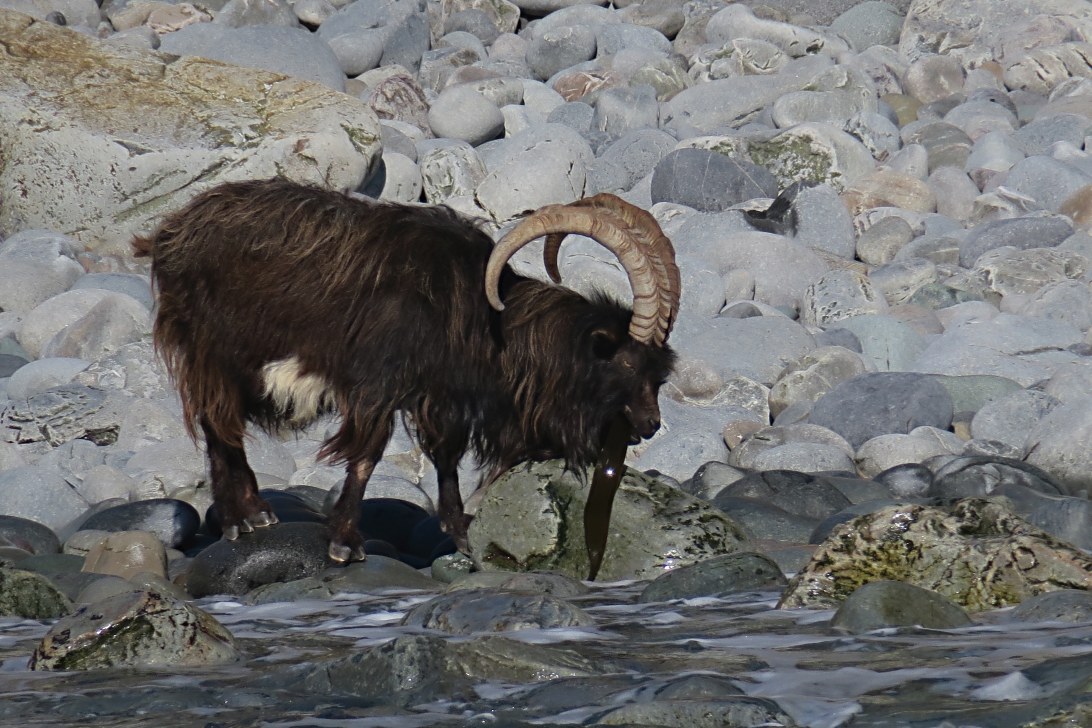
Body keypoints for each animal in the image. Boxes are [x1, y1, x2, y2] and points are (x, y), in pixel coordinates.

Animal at [133, 178, 680, 562]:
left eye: (659, 371)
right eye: (626, 360)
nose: (651, 424)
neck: (485, 319)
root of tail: (171, 233)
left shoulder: (441, 395)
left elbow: (446, 458)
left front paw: (460, 532)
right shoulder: (379, 384)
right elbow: (367, 457)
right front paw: (345, 542)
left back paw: (254, 512)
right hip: (210, 351)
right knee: (217, 425)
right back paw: (240, 517)